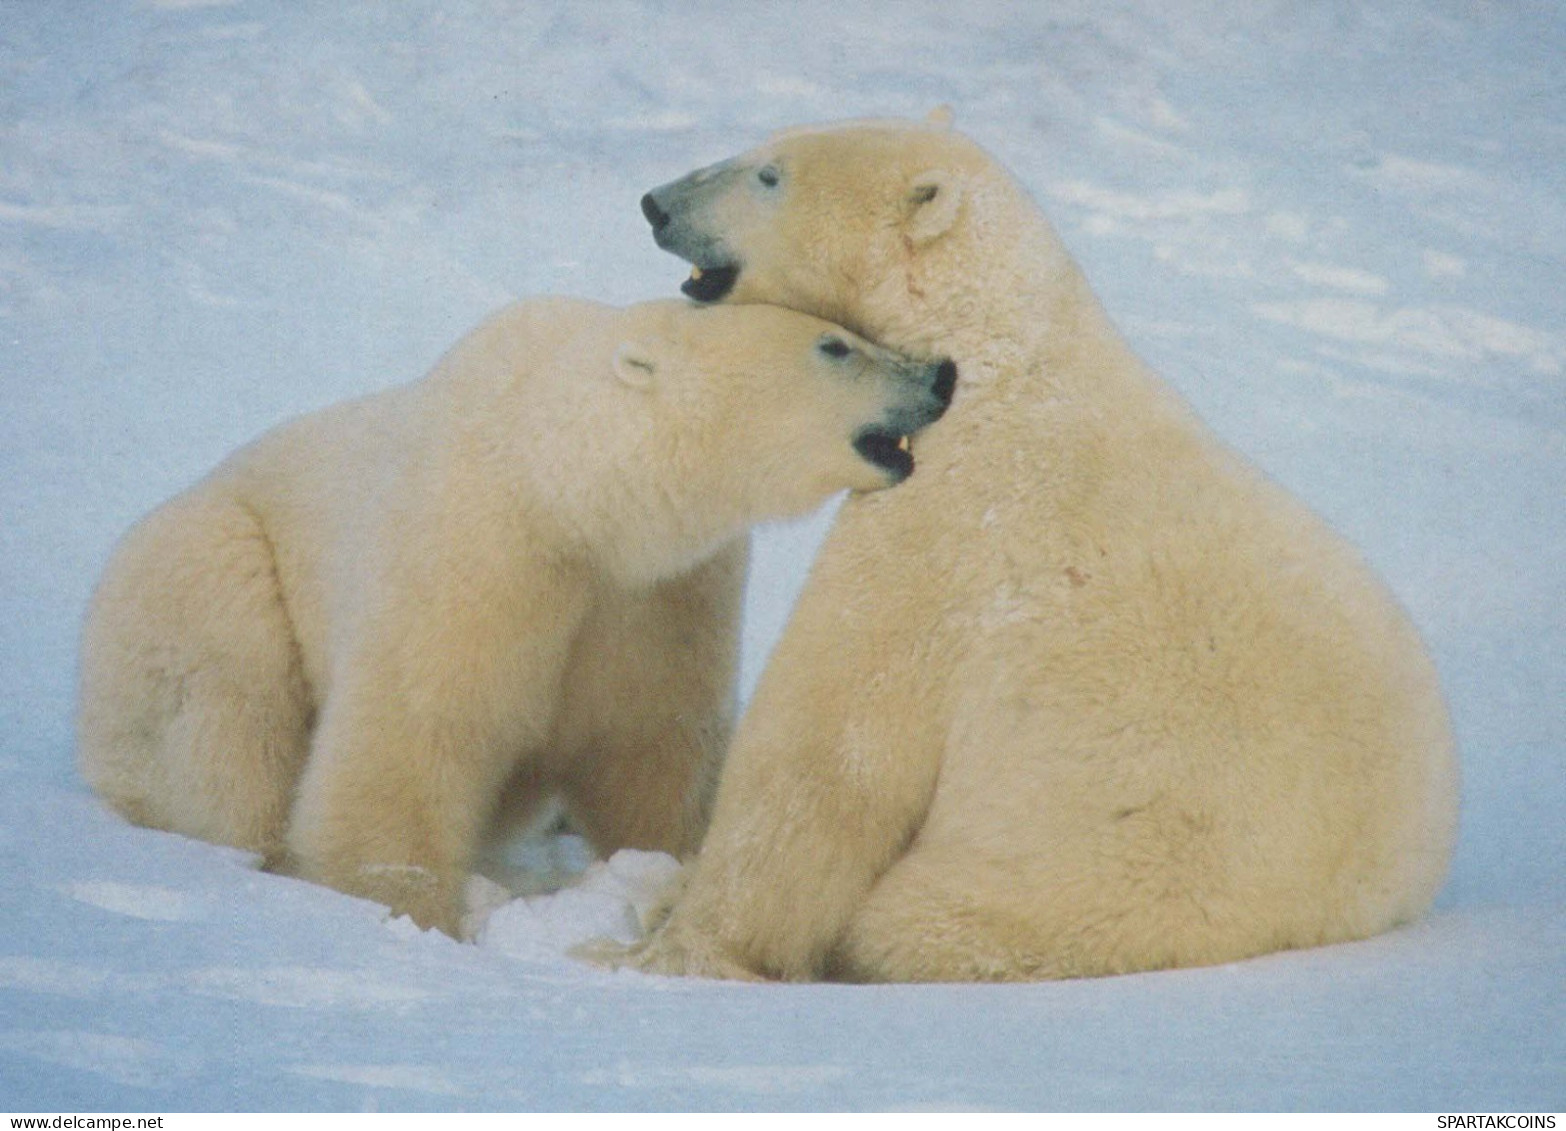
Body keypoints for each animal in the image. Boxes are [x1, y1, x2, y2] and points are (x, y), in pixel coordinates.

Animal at [79, 292, 952, 933]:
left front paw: (668, 865)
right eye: (835, 345)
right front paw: (409, 912)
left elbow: (653, 744)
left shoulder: (662, 593)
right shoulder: (478, 547)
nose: (940, 373)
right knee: (229, 717)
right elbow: (413, 734)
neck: (563, 485)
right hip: (189, 573)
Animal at [617, 112, 1459, 977]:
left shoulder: (946, 530)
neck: (990, 361)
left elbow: (828, 751)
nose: (655, 204)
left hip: (1098, 879)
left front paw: (677, 945)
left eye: (769, 175)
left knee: (911, 922)